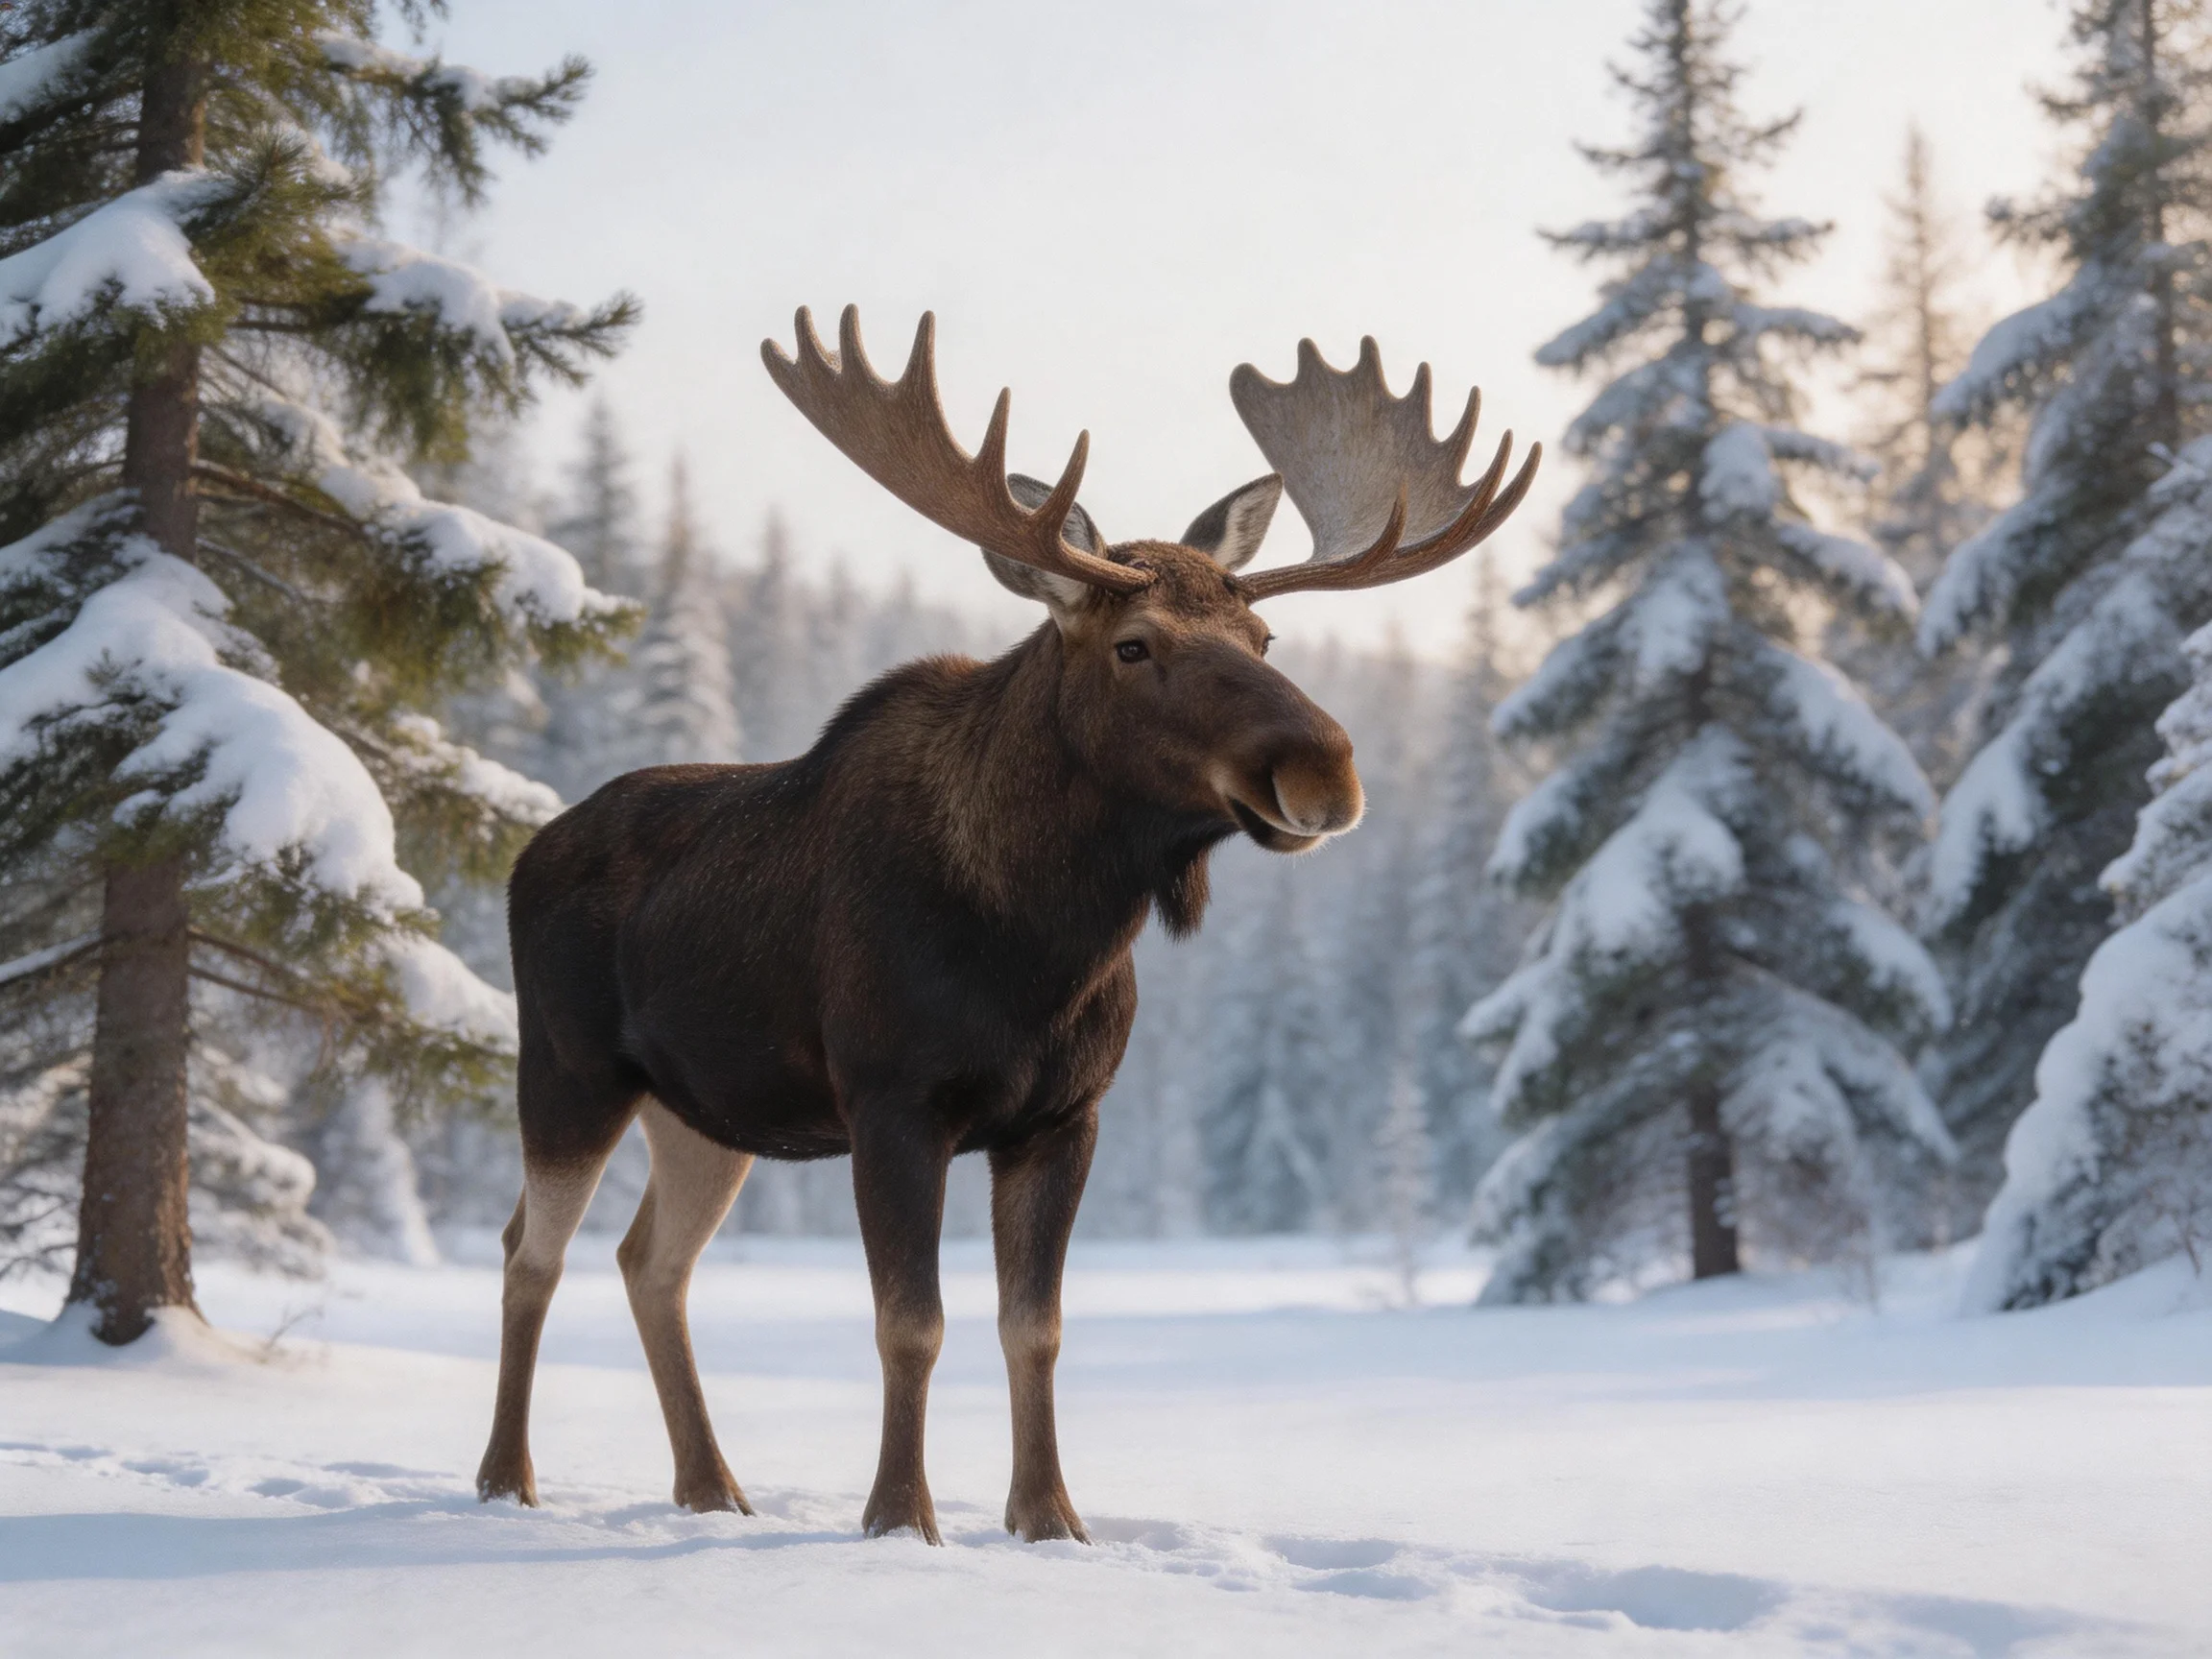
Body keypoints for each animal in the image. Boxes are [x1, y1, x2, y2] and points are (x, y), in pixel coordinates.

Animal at [474, 307, 1538, 1543]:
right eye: (1134, 644)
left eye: (1265, 640)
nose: (1323, 769)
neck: (1043, 945)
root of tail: (529, 850)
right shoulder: (893, 1101)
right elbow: (911, 1324)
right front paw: (901, 1518)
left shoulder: (1064, 1116)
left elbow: (1035, 1328)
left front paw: (1051, 1520)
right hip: (569, 1069)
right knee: (531, 1249)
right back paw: (506, 1478)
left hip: (705, 1111)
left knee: (651, 1260)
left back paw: (711, 1488)